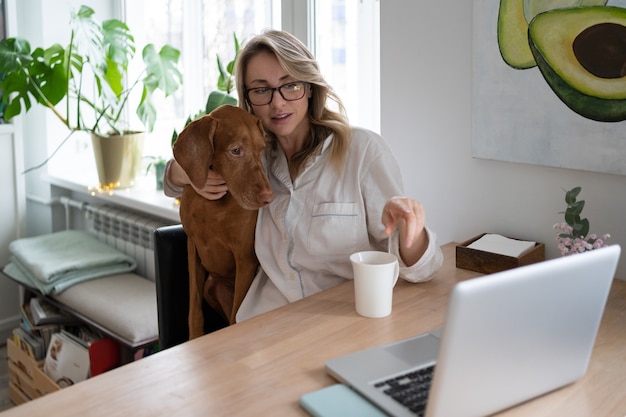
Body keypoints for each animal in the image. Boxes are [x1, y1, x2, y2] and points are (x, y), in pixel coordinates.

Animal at [172, 104, 272, 338]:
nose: (268, 197)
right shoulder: (193, 247)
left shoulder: (245, 258)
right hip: (211, 285)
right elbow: (194, 311)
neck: (212, 206)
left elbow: (237, 316)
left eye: (261, 149)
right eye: (236, 151)